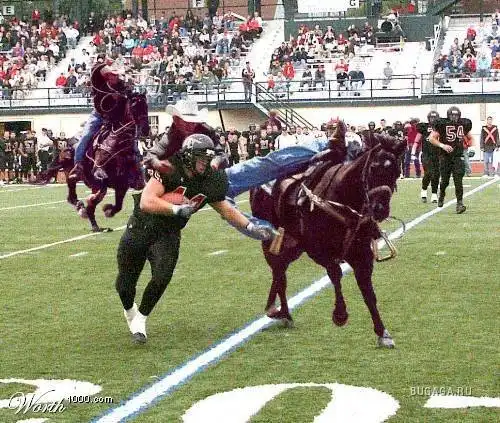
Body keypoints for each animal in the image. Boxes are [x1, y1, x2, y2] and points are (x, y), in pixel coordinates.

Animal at [37, 92, 150, 232]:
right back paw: (80, 207)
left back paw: (94, 223)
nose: (145, 130)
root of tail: (67, 143)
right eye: (134, 106)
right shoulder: (102, 177)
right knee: (71, 186)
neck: (117, 144)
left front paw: (107, 210)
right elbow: (99, 194)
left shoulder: (123, 183)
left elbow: (118, 205)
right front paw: (91, 204)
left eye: (146, 106)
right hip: (74, 172)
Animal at [250, 126, 406, 348]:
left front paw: (382, 332)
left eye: (396, 171)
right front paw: (340, 314)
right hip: (271, 241)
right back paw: (282, 313)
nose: (380, 209)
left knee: (279, 272)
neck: (340, 200)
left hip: (293, 246)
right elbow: (335, 274)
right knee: (279, 273)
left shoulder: (361, 255)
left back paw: (277, 310)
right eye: (373, 168)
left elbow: (368, 292)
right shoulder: (317, 251)